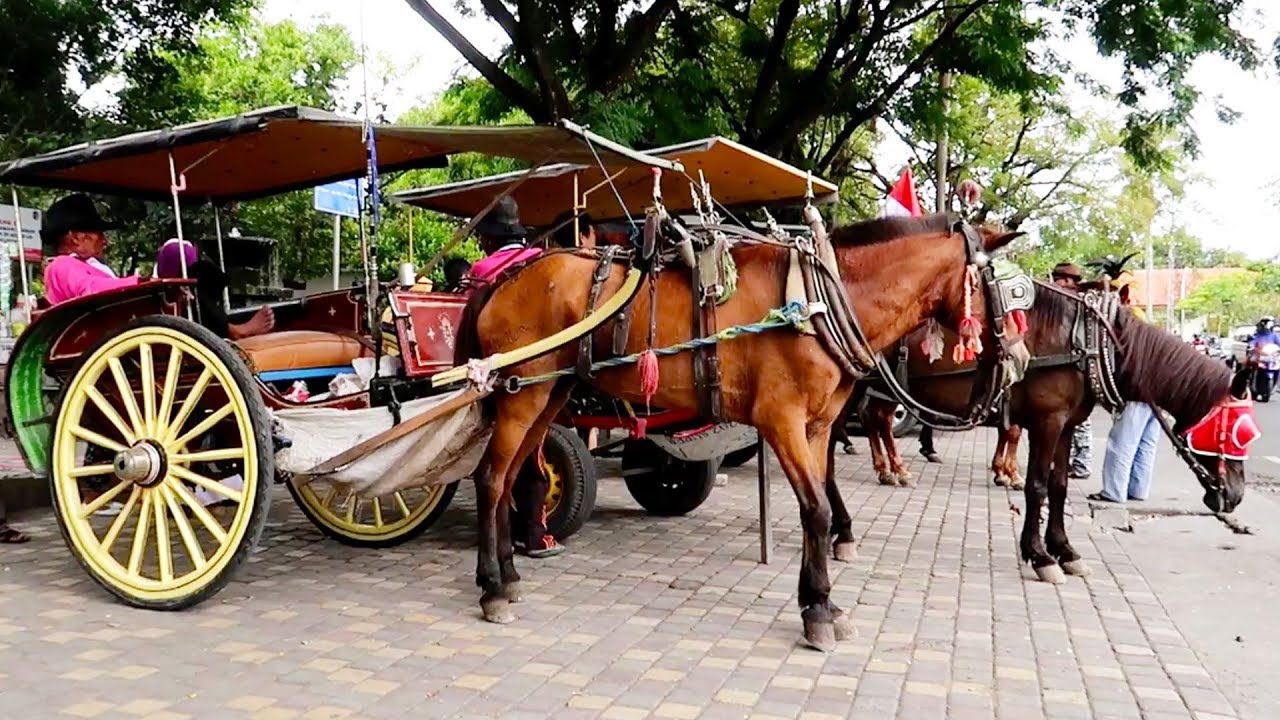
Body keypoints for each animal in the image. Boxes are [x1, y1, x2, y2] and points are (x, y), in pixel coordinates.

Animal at [453, 210, 1018, 648]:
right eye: (1011, 292)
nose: (1016, 360)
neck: (818, 300)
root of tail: (505, 277)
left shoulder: (817, 428)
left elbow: (819, 501)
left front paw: (822, 601)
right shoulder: (782, 420)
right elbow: (815, 509)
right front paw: (817, 610)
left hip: (551, 391)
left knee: (513, 478)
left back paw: (509, 572)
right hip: (523, 394)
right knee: (491, 479)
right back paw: (493, 587)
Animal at [834, 283, 1244, 579]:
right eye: (1234, 433)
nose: (1236, 495)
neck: (1086, 342)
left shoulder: (1066, 425)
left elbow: (1058, 486)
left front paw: (1064, 550)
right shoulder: (1047, 422)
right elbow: (1037, 486)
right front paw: (1039, 554)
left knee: (866, 425)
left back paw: (881, 483)